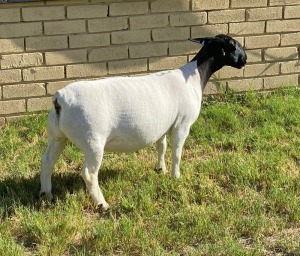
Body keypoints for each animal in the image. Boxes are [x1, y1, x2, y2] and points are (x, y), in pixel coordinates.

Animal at [39, 34, 246, 210]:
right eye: (233, 44)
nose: (244, 60)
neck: (196, 75)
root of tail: (61, 98)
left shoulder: (163, 126)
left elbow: (161, 147)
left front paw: (161, 169)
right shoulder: (182, 124)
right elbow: (177, 153)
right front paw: (176, 177)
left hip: (57, 136)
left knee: (47, 161)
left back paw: (46, 193)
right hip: (93, 141)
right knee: (89, 174)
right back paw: (102, 204)